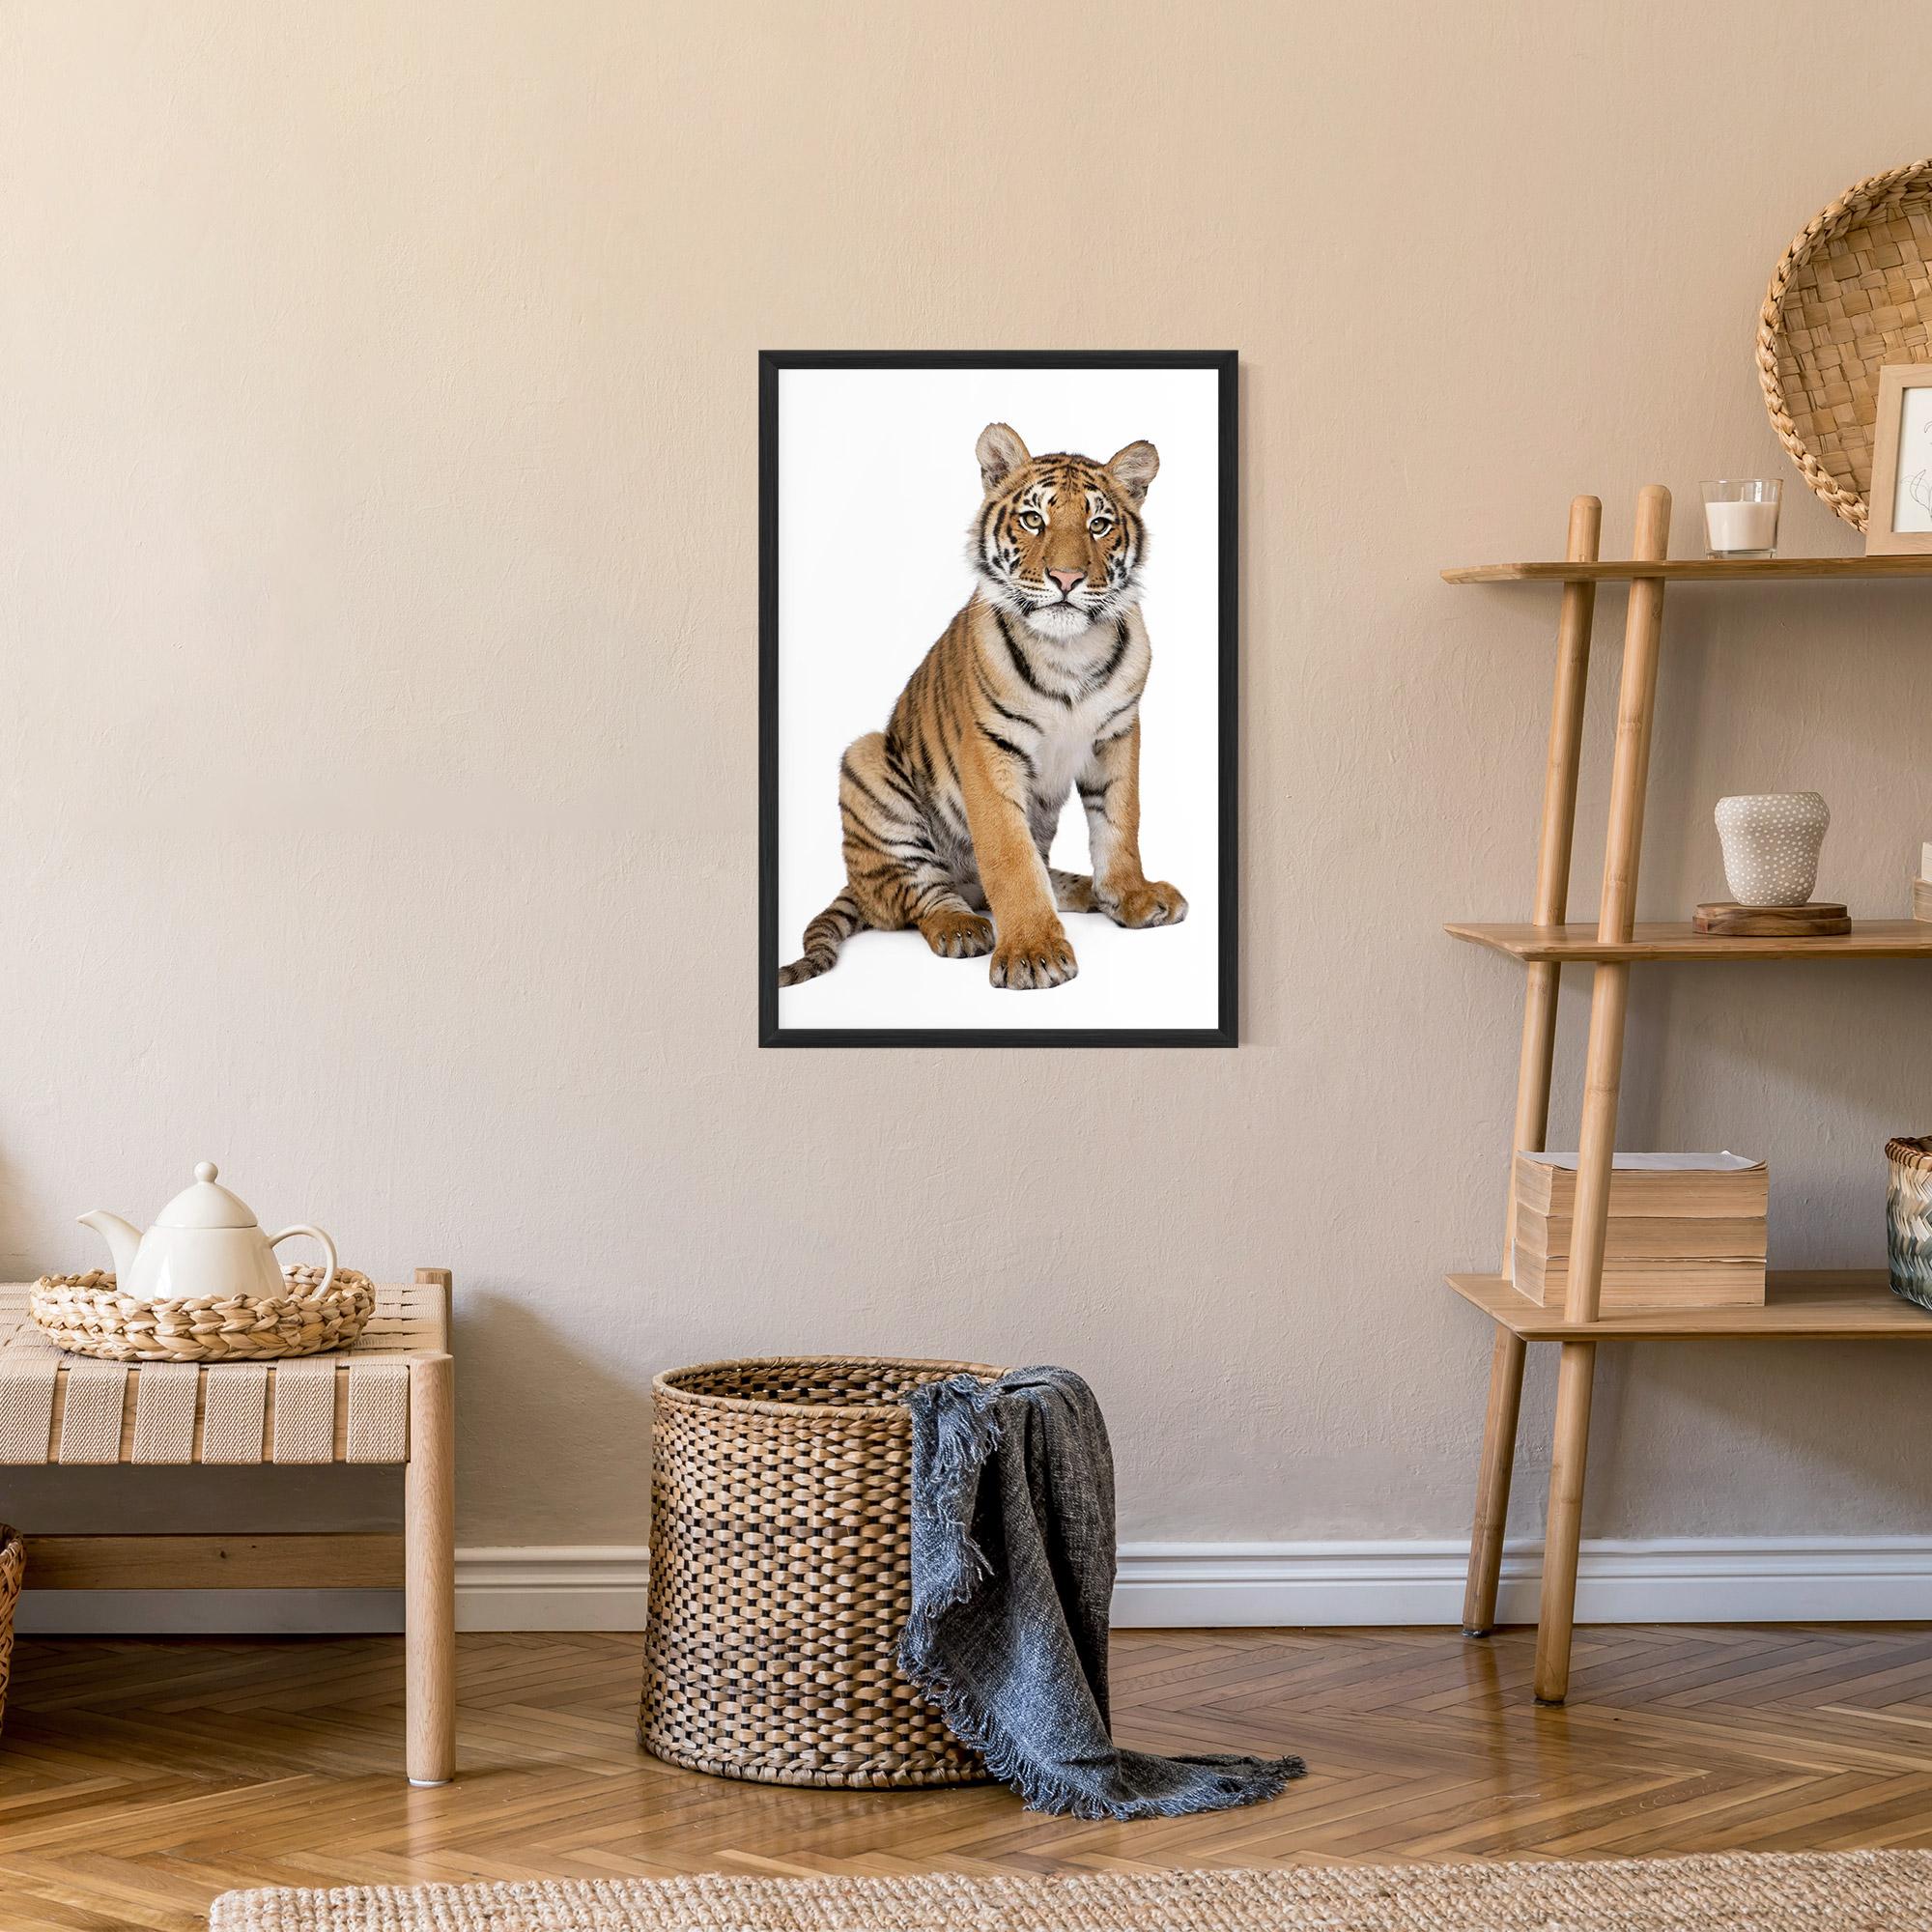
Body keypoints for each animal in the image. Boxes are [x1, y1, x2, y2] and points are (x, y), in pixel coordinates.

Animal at [779, 421, 1187, 992]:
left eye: (1099, 524)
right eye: (1034, 519)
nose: (1067, 578)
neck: (1069, 650)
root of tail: (855, 886)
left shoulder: (1117, 734)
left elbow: (1119, 824)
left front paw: (1131, 896)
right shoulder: (990, 748)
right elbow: (1010, 858)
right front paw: (1034, 953)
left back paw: (1084, 891)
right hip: (866, 762)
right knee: (919, 896)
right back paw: (962, 927)